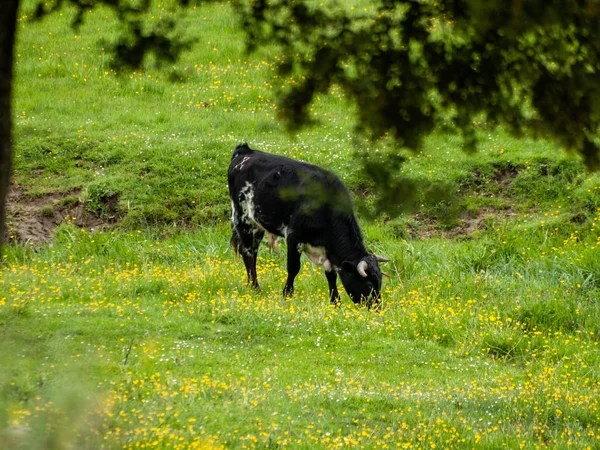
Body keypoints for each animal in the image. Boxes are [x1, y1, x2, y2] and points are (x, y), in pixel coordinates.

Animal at [229, 144, 390, 310]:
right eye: (369, 284)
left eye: (379, 282)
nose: (377, 308)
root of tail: (246, 151)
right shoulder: (294, 236)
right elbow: (293, 267)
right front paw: (287, 294)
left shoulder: (326, 249)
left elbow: (331, 275)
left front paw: (335, 302)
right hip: (243, 218)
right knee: (247, 252)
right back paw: (255, 288)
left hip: (258, 224)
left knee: (253, 253)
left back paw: (252, 285)